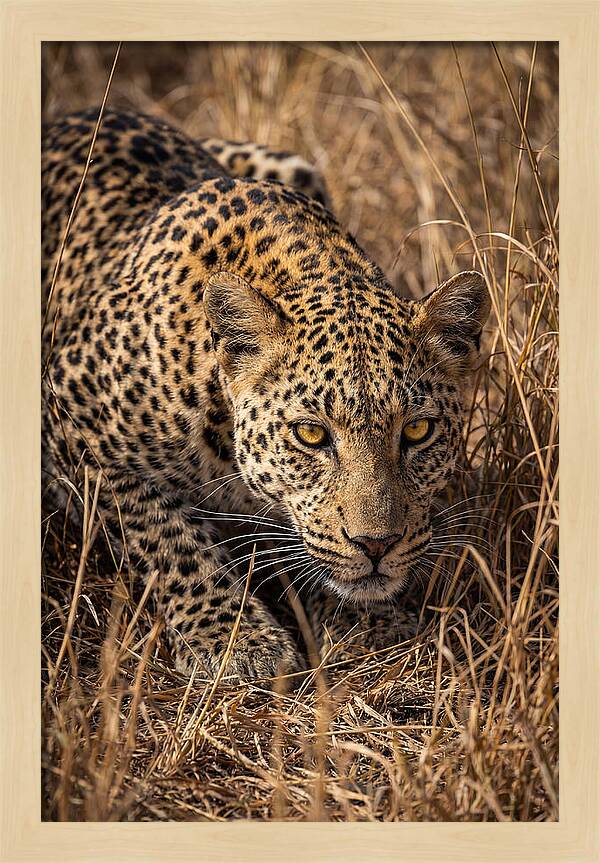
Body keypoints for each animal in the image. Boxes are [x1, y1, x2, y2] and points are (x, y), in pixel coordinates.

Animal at [42, 106, 490, 683]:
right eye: (311, 434)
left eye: (417, 430)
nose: (376, 545)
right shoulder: (70, 417)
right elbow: (166, 535)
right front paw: (236, 639)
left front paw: (369, 625)